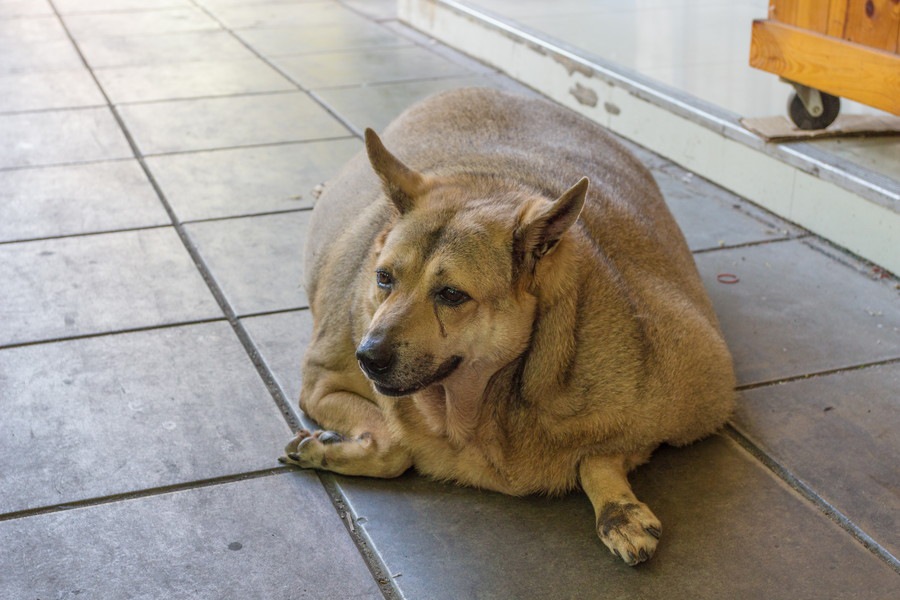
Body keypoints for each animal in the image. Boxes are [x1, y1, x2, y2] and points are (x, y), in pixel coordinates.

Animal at [280, 86, 732, 564]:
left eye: (452, 295)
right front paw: (324, 448)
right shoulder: (320, 383)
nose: (367, 357)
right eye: (383, 278)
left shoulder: (686, 404)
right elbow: (396, 447)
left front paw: (617, 506)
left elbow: (598, 454)